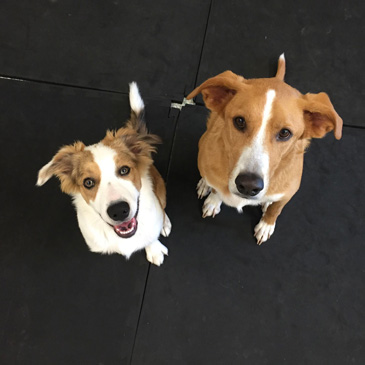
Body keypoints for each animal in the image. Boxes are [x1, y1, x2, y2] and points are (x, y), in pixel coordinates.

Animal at [186, 54, 342, 245]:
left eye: (285, 133)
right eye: (239, 121)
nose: (248, 185)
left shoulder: (289, 192)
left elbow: (276, 209)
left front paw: (266, 225)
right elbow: (216, 189)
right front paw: (213, 201)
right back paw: (204, 184)